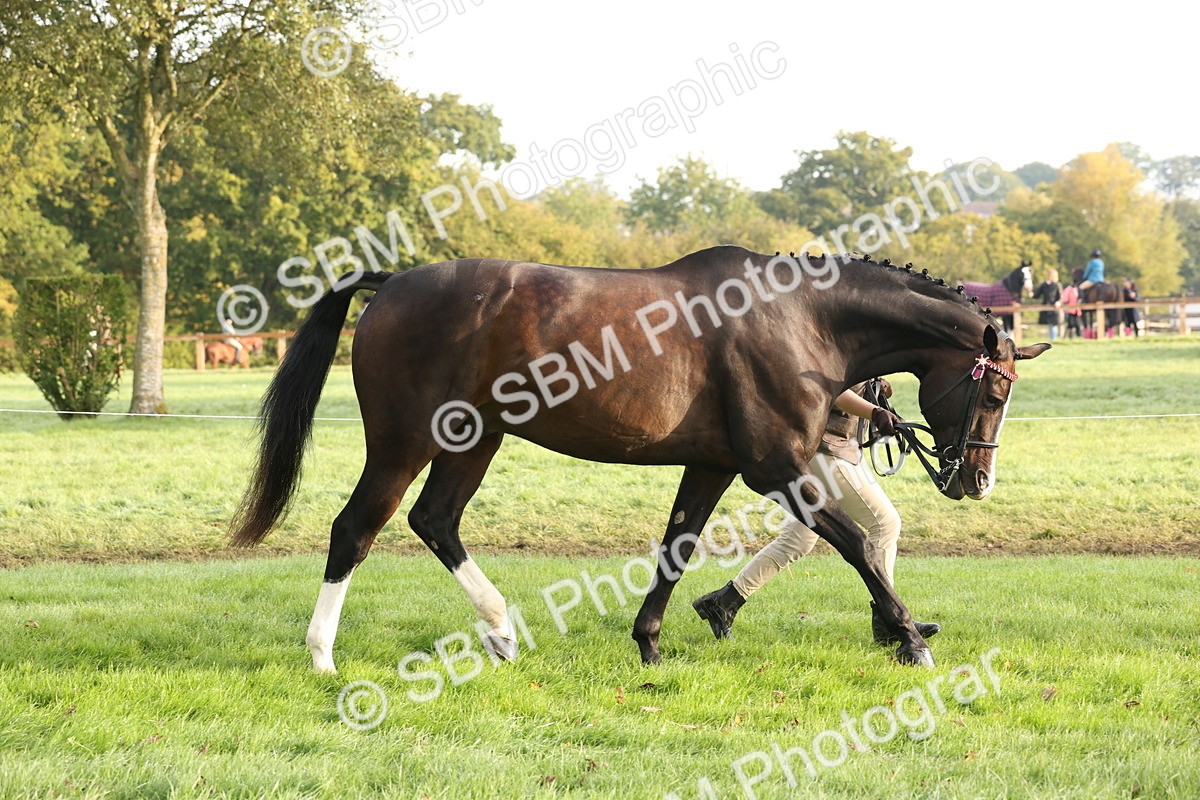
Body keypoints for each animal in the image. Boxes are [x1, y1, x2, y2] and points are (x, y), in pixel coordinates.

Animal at [230, 247, 1049, 673]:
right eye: (994, 390)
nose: (975, 479)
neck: (800, 320)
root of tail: (394, 280)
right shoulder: (775, 466)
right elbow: (851, 545)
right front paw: (906, 634)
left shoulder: (714, 465)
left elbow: (677, 546)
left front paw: (650, 641)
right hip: (404, 442)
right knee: (355, 530)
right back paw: (323, 656)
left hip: (475, 440)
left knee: (436, 522)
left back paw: (499, 632)